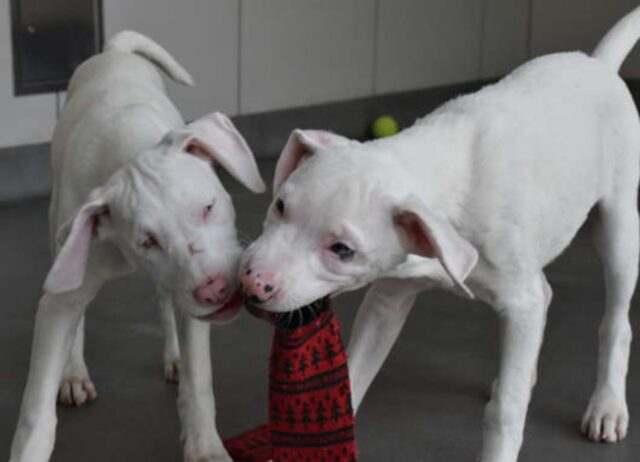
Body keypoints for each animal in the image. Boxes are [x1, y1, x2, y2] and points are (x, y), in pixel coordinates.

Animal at [8, 30, 262, 460]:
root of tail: (113, 53)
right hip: (62, 241)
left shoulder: (193, 302)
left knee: (165, 302)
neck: (128, 148)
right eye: (147, 242)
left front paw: (205, 447)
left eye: (208, 207)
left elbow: (199, 381)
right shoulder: (61, 295)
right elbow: (36, 411)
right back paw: (73, 373)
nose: (215, 290)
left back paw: (174, 355)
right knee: (77, 313)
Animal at [238, 7, 640, 462]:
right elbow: (354, 374)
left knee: (615, 321)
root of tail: (597, 63)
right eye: (280, 206)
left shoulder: (518, 301)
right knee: (544, 296)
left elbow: (506, 410)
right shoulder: (388, 297)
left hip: (619, 227)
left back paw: (607, 405)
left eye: (342, 250)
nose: (251, 282)